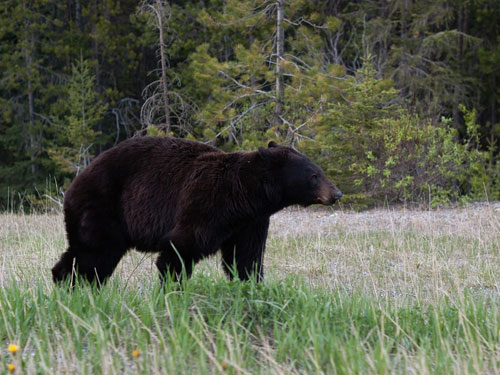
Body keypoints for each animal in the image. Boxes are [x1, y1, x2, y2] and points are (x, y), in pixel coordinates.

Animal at [51, 138, 344, 284]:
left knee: (88, 256)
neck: (244, 196)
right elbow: (180, 250)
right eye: (314, 175)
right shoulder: (205, 204)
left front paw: (252, 286)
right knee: (94, 254)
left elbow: (245, 258)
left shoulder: (251, 222)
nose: (337, 193)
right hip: (103, 207)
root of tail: (74, 183)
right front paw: (172, 289)